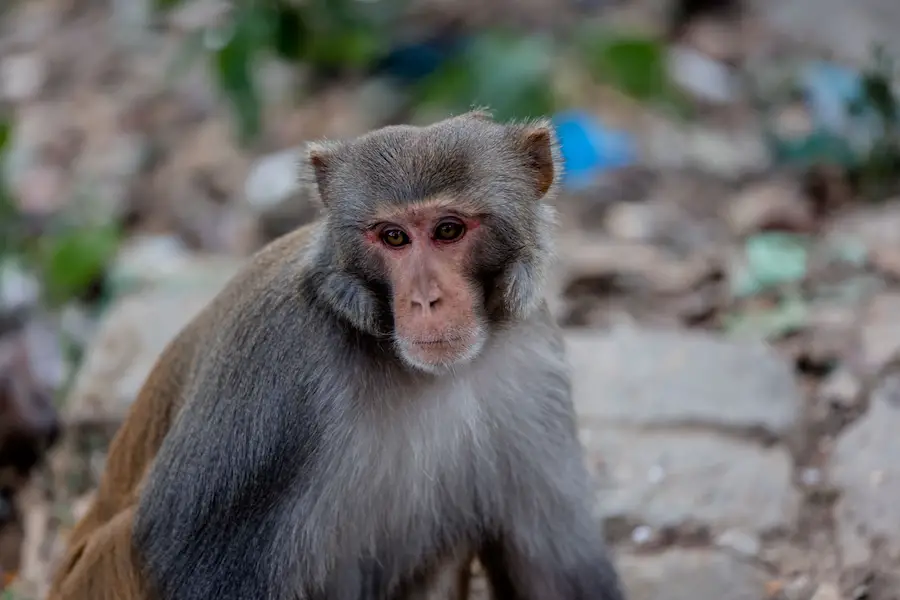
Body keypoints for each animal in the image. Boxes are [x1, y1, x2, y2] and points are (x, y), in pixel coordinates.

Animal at [47, 110, 624, 600]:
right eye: (393, 237)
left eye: (448, 230)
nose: (425, 300)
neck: (403, 362)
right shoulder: (282, 357)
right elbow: (190, 560)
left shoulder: (532, 355)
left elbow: (557, 578)